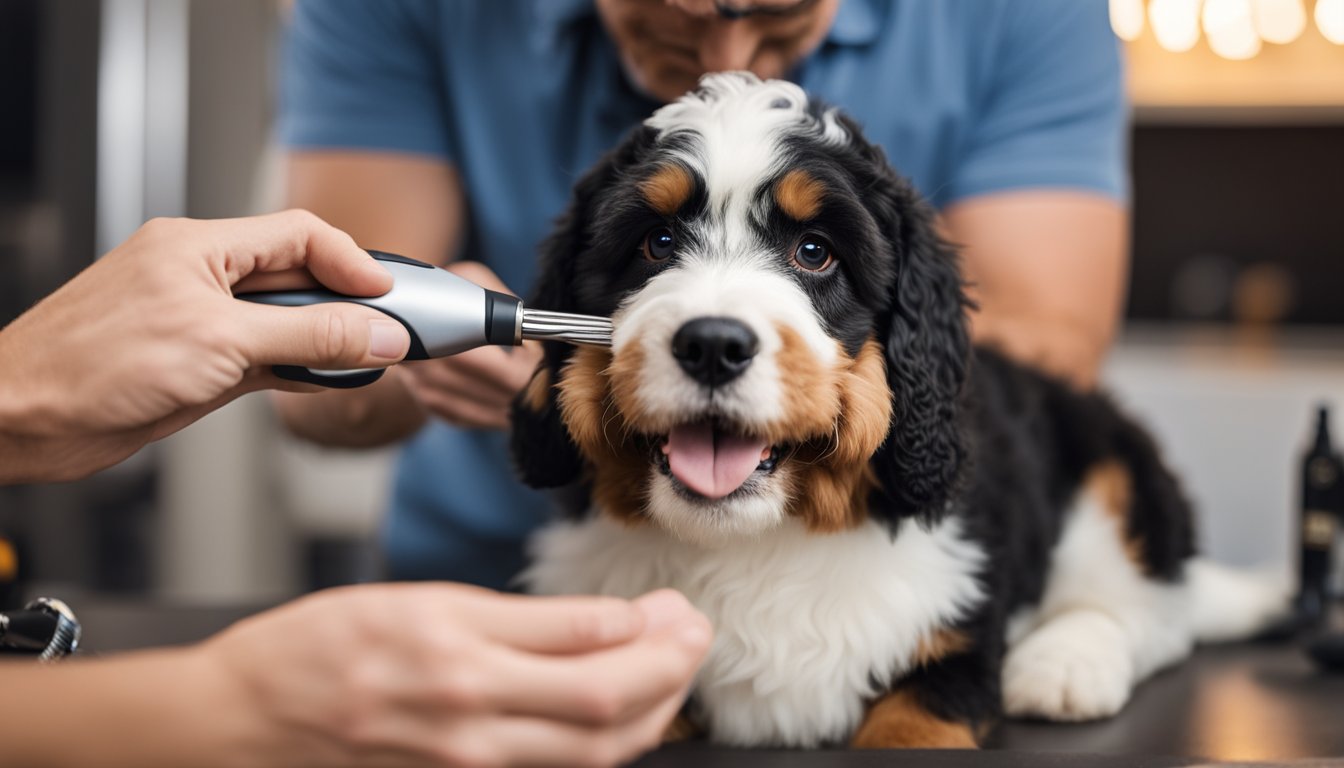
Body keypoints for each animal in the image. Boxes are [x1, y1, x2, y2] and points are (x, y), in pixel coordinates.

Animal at [505, 73, 1279, 753]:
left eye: (814, 252)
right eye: (657, 244)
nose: (713, 346)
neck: (759, 540)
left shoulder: (957, 631)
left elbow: (919, 715)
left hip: (1114, 465)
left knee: (1152, 606)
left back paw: (1064, 665)